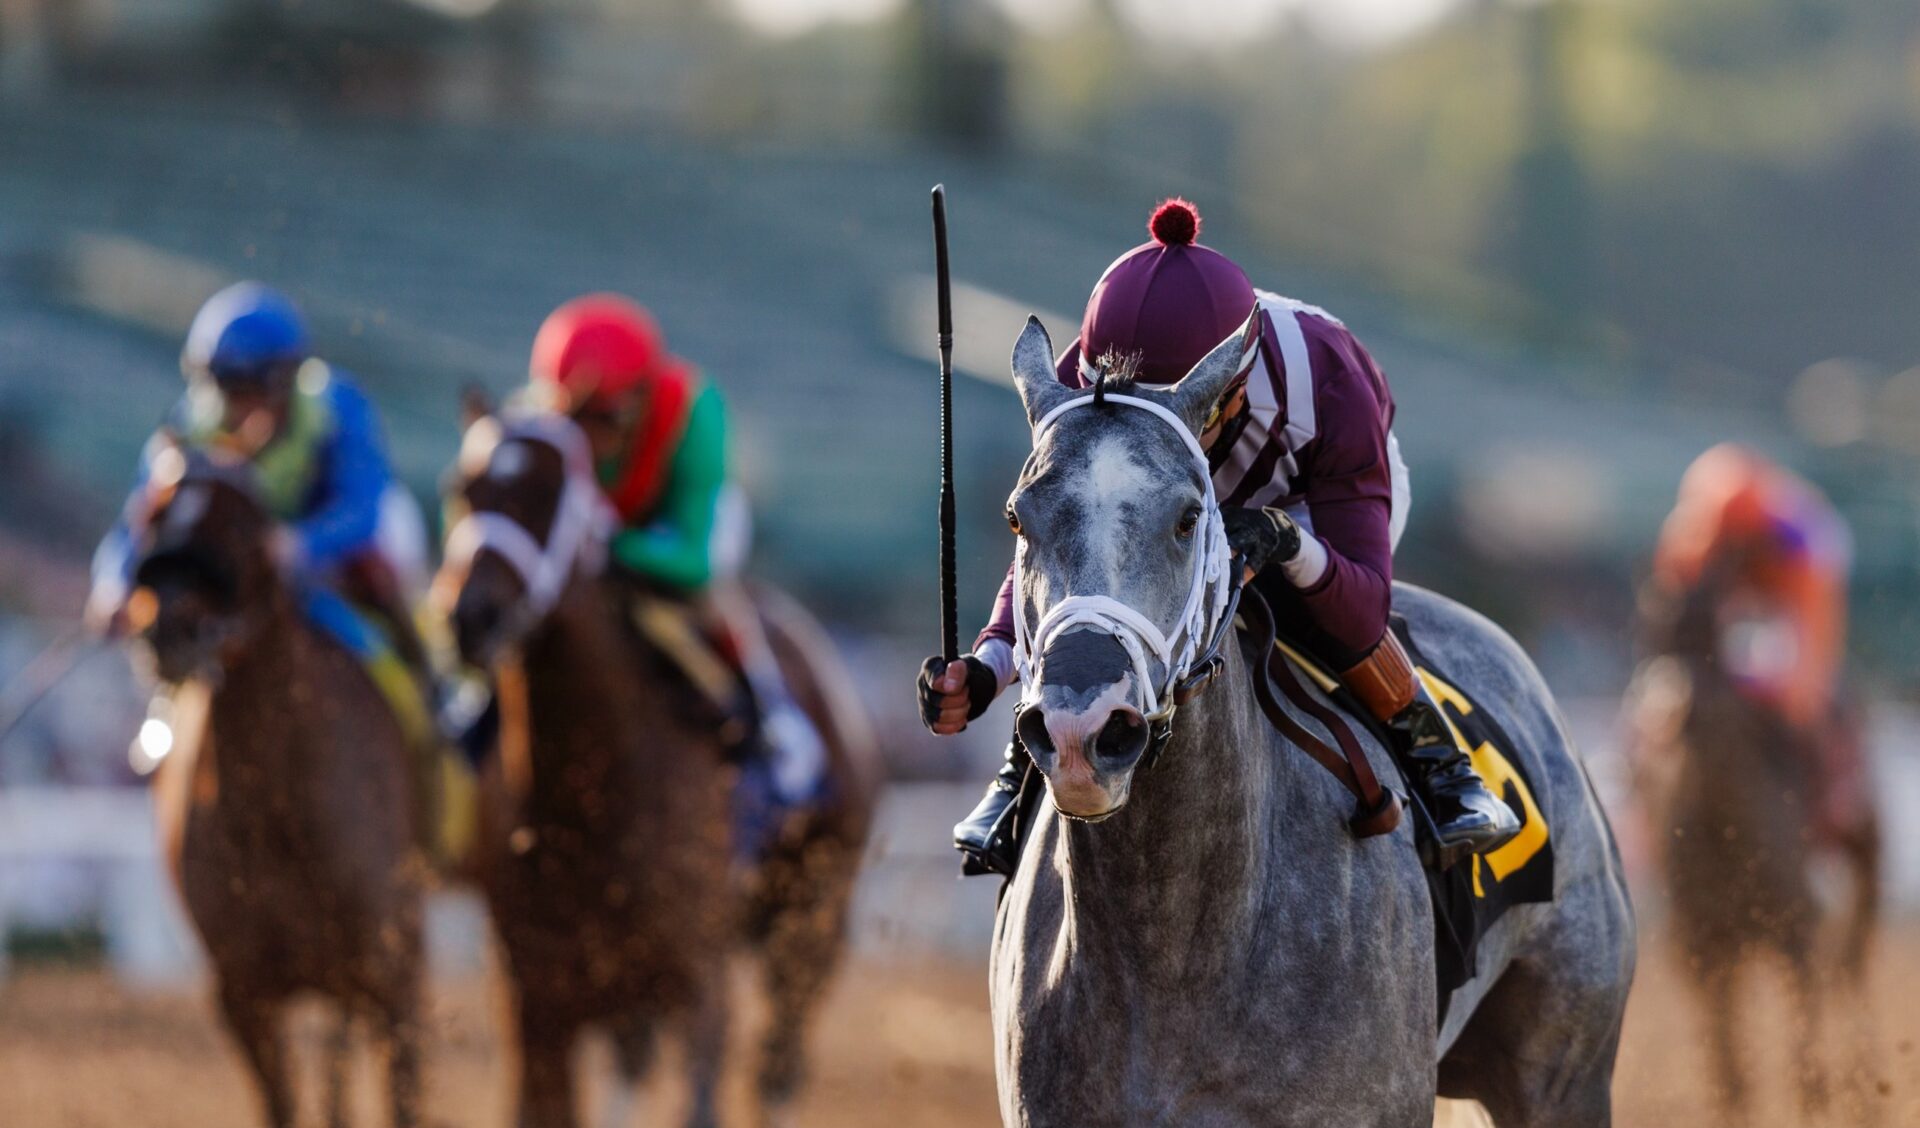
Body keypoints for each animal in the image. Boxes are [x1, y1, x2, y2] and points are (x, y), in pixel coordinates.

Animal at [131, 445, 424, 1128]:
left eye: (240, 529)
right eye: (154, 519)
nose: (168, 628)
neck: (279, 809)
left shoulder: (392, 966)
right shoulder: (245, 990)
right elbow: (284, 1102)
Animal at [435, 412, 879, 1128]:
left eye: (547, 492)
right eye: (463, 488)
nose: (468, 614)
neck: (592, 795)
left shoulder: (699, 983)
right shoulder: (535, 998)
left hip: (812, 921)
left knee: (776, 1068)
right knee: (634, 1058)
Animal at [990, 316, 1635, 1128]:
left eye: (1189, 517)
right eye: (1018, 516)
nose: (1082, 729)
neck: (1175, 950)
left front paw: (1265, 536)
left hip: (1565, 1069)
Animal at [1628, 575, 1881, 1120]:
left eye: (1710, 634)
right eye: (1652, 632)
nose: (1673, 709)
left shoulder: (1795, 922)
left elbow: (1805, 1051)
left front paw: (1821, 1103)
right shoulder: (1699, 941)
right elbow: (1730, 1068)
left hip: (1865, 845)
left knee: (1853, 960)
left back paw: (1867, 1084)